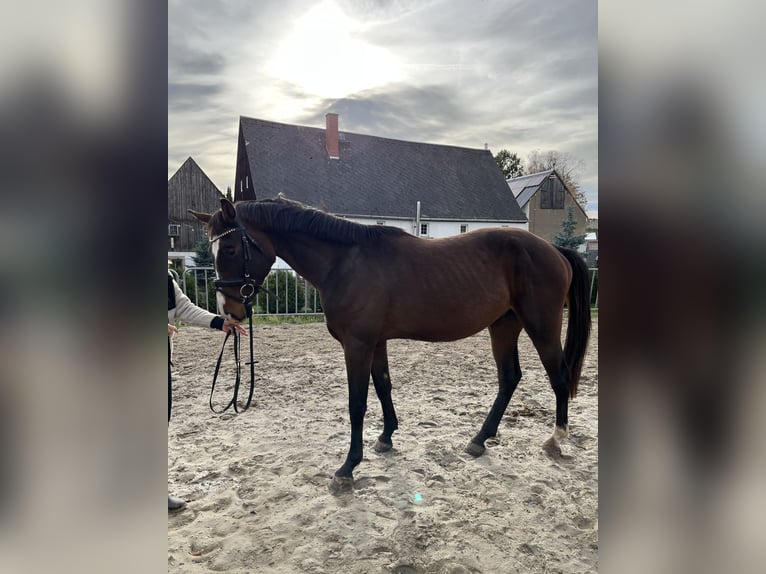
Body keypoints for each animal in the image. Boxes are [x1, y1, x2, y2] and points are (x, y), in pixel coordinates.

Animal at [190, 196, 591, 491]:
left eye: (230, 248)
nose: (229, 312)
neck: (345, 262)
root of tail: (554, 250)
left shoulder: (357, 344)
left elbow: (357, 403)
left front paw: (347, 468)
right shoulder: (376, 342)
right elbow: (383, 386)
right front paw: (386, 437)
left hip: (541, 325)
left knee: (558, 376)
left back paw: (556, 439)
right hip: (503, 326)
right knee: (509, 378)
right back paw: (479, 439)